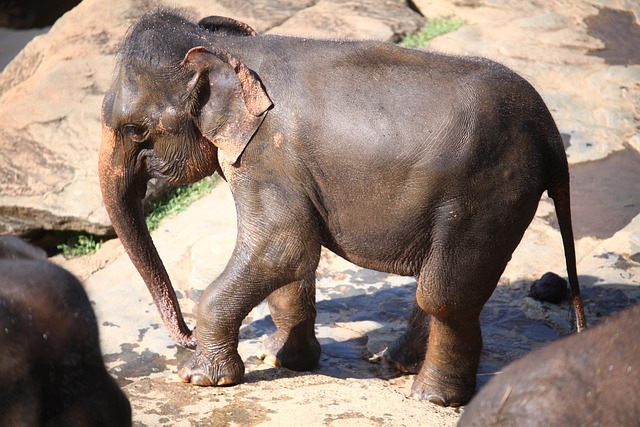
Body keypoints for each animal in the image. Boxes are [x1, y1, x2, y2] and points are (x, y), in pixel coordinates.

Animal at [98, 9, 586, 407]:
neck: (229, 50)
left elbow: (283, 247)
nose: (185, 336)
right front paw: (280, 358)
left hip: (487, 193)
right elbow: (291, 262)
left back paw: (431, 396)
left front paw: (200, 378)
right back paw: (396, 364)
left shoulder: (266, 155)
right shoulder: (281, 166)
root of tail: (551, 136)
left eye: (135, 129)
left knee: (444, 294)